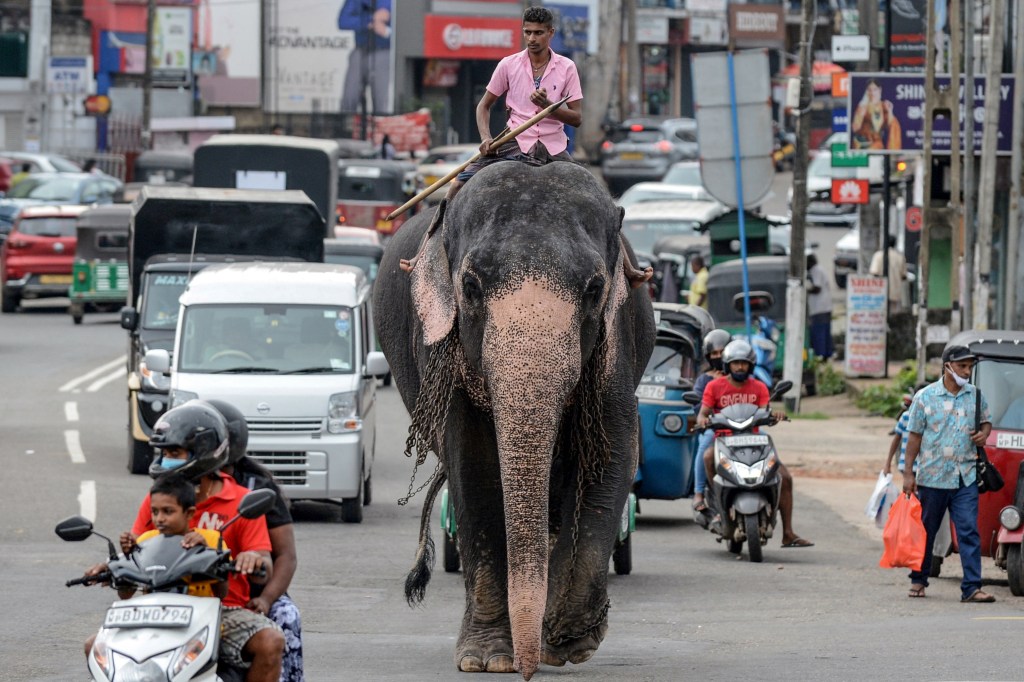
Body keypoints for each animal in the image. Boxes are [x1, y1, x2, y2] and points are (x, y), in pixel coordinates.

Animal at [372, 157, 651, 675]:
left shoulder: (616, 341)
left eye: (595, 289)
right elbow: (474, 467)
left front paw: (565, 642)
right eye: (470, 286)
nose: (527, 670)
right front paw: (488, 660)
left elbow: (611, 453)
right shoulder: (446, 349)